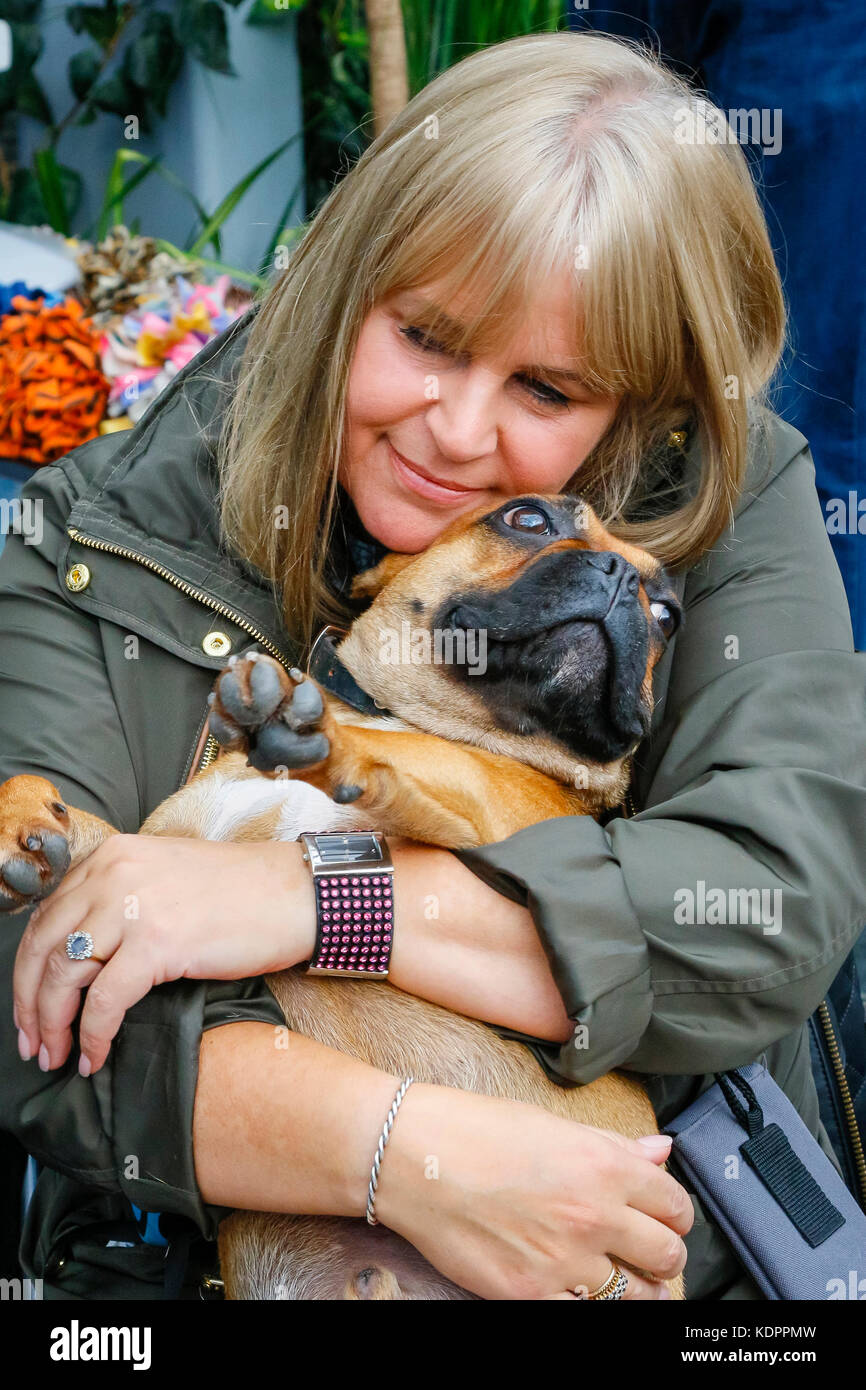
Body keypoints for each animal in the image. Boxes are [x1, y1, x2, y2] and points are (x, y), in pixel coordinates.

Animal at [0, 494, 683, 1295]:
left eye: (667, 613)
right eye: (528, 518)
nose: (621, 579)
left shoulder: (511, 810)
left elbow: (427, 758)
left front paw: (316, 728)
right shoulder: (152, 853)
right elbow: (58, 808)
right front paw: (23, 827)